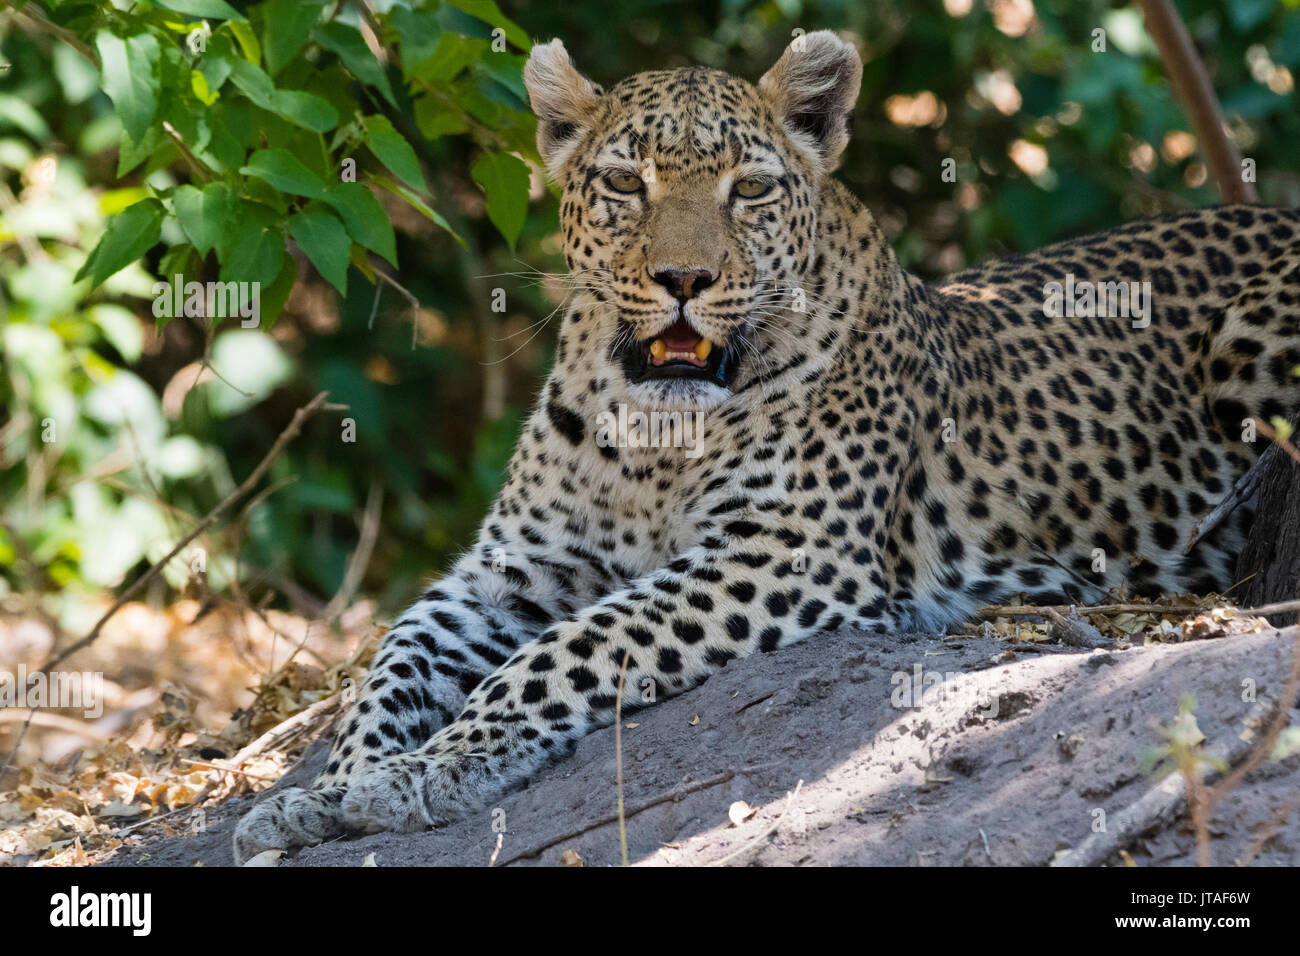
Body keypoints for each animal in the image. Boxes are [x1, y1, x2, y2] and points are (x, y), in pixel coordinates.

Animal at [233, 31, 1300, 868]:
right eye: (623, 183)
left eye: (747, 189)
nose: (684, 279)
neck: (652, 436)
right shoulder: (517, 567)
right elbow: (396, 656)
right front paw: (328, 791)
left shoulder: (784, 552)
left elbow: (569, 649)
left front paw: (429, 769)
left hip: (1251, 342)